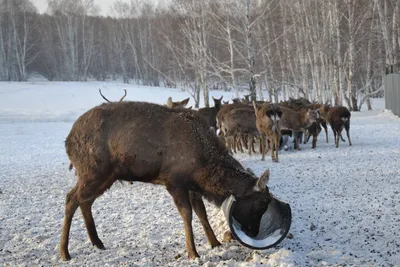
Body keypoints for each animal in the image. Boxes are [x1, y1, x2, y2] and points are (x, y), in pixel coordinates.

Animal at [61, 102, 274, 262]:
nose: (254, 232)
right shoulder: (173, 180)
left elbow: (202, 213)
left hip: (105, 176)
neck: (203, 168)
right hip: (93, 171)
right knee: (71, 198)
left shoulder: (192, 186)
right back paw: (64, 251)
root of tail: (68, 140)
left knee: (85, 201)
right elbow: (187, 214)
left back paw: (97, 242)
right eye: (261, 204)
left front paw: (215, 243)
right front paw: (193, 253)